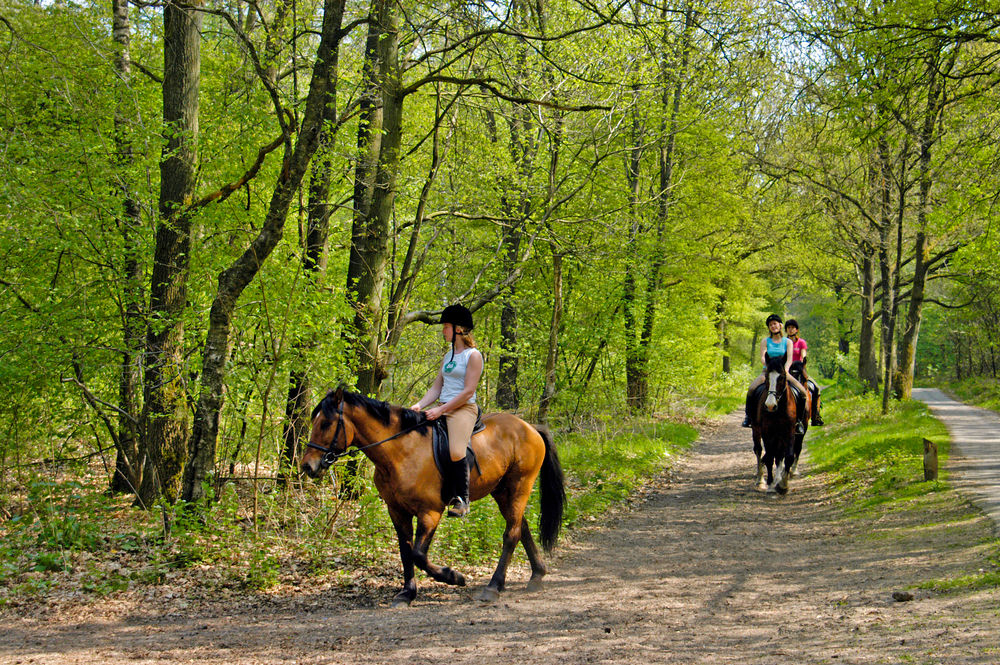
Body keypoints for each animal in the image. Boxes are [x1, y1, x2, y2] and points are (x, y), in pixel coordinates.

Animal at [301, 387, 566, 608]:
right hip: (502, 491)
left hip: (520, 485)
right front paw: (407, 593)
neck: (400, 451)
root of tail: (529, 427)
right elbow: (406, 551)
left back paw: (493, 587)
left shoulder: (430, 512)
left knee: (511, 534)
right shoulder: (397, 511)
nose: (307, 467)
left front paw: (453, 576)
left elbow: (418, 554)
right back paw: (536, 576)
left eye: (325, 423)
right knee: (521, 527)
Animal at [752, 357, 799, 494]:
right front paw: (771, 483)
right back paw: (761, 480)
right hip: (756, 430)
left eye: (782, 377)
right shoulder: (766, 432)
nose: (770, 406)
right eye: (767, 376)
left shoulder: (789, 431)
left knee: (778, 455)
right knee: (759, 450)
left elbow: (788, 456)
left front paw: (782, 485)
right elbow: (769, 456)